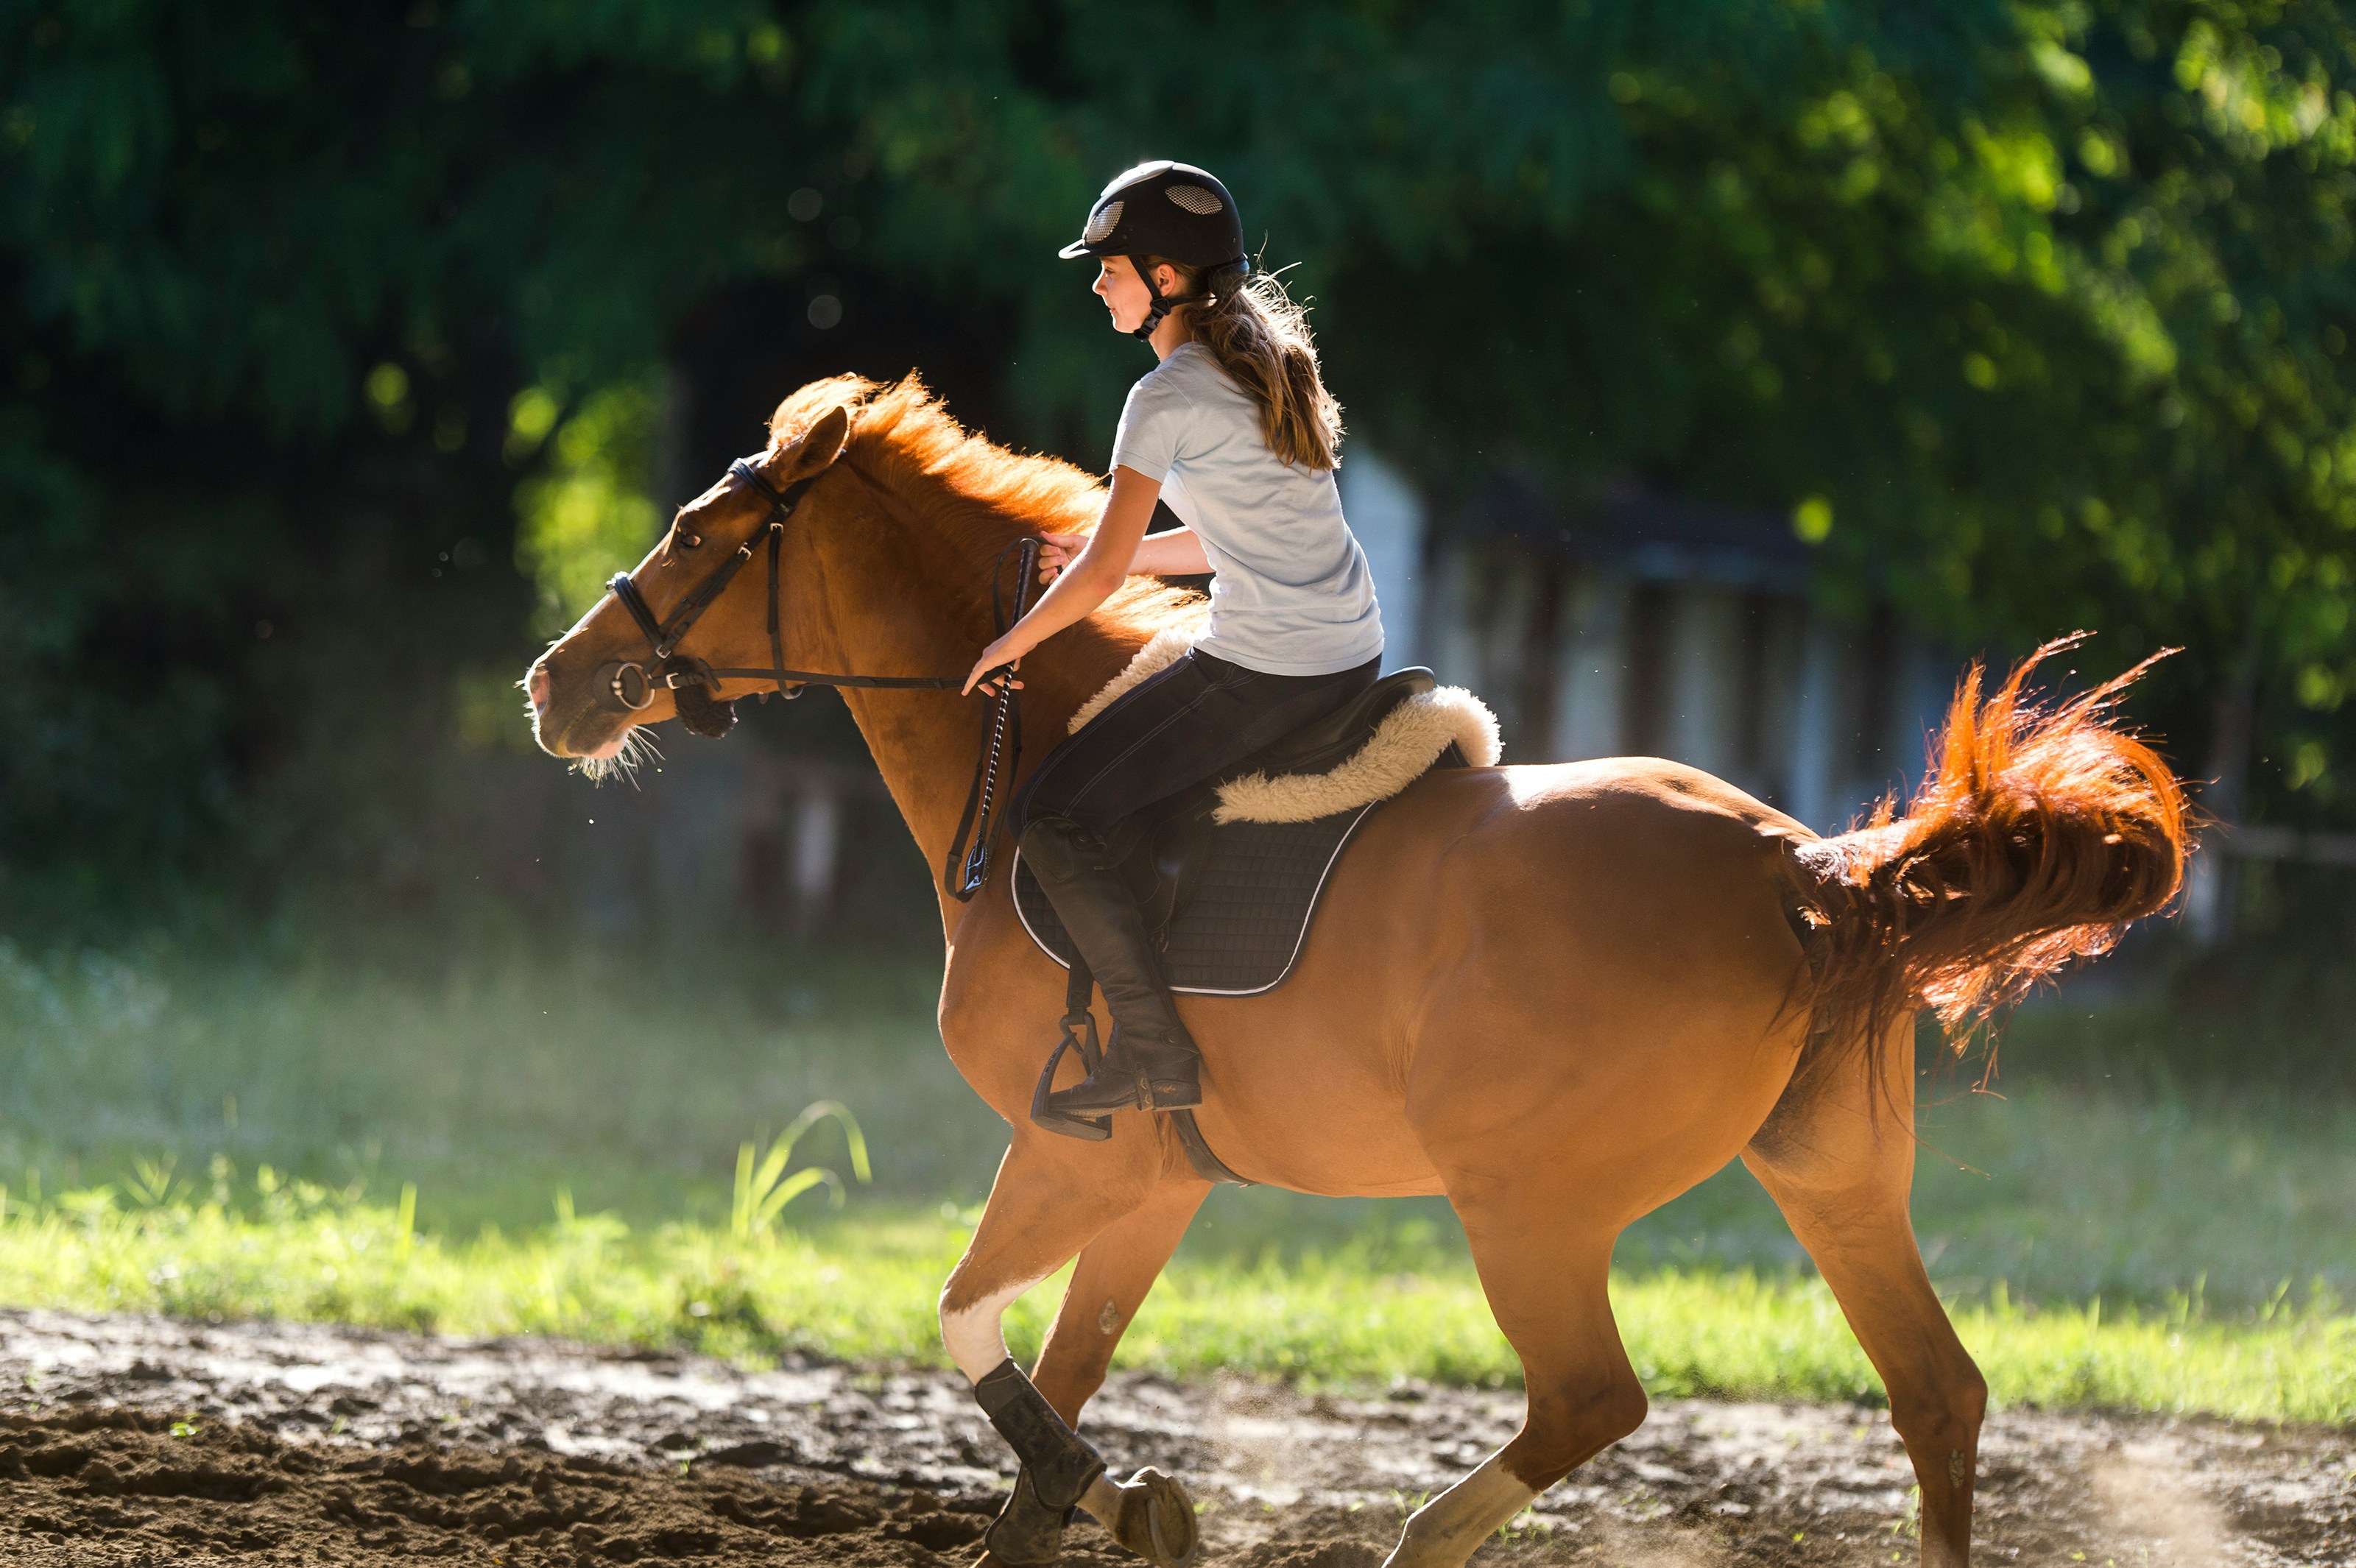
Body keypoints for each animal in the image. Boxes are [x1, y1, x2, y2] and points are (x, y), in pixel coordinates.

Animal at [526, 373, 2189, 1568]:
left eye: (697, 535)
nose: (556, 682)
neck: (1028, 737)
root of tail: (1804, 870)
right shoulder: (1159, 1180)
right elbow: (1055, 1382)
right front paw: (1112, 1505)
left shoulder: (1077, 1156)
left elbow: (965, 1324)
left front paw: (1118, 1496)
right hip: (1830, 1179)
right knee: (1937, 1395)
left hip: (1526, 1206)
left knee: (1592, 1397)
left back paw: (1420, 1540)